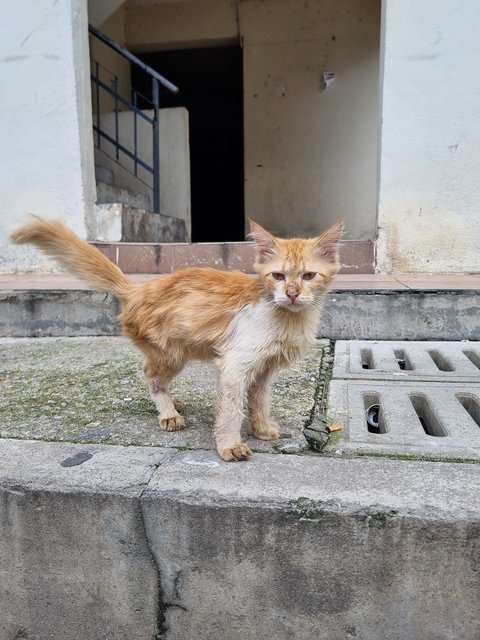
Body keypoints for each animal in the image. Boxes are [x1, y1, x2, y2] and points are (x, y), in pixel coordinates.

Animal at [10, 215, 342, 460]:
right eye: (277, 276)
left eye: (309, 276)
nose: (292, 293)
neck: (285, 316)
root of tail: (136, 289)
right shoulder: (235, 366)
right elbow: (231, 410)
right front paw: (229, 445)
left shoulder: (264, 369)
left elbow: (258, 401)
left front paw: (261, 428)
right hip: (172, 352)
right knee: (150, 375)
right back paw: (168, 412)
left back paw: (174, 402)